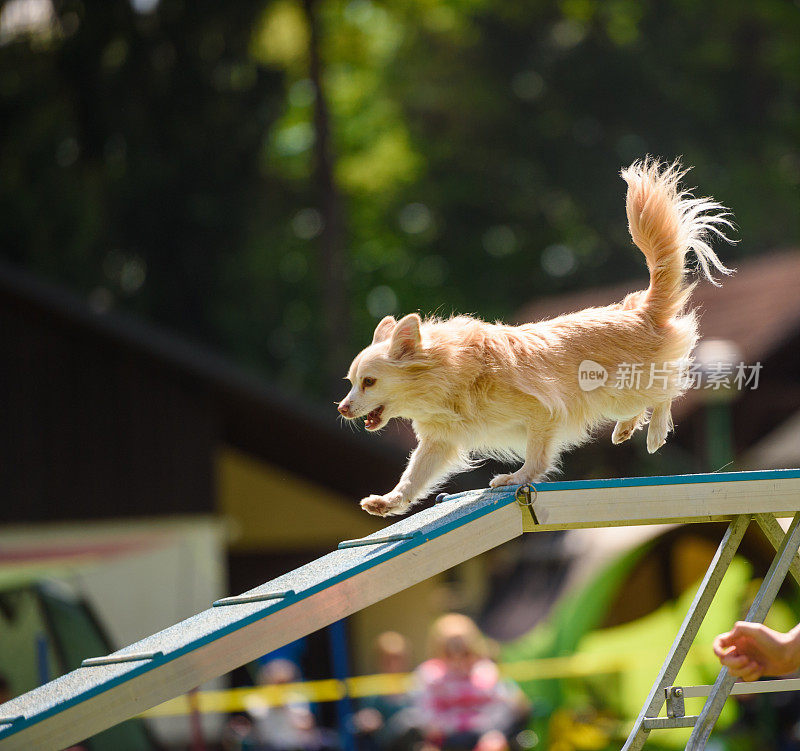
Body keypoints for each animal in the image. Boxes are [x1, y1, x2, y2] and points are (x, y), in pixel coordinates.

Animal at [336, 159, 732, 516]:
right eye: (351, 384)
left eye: (369, 382)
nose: (341, 408)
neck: (448, 376)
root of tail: (640, 309)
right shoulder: (439, 442)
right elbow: (413, 476)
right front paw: (388, 502)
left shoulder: (543, 412)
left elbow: (536, 454)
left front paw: (517, 478)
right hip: (615, 397)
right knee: (645, 400)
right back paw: (625, 429)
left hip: (628, 387)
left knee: (668, 389)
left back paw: (656, 431)